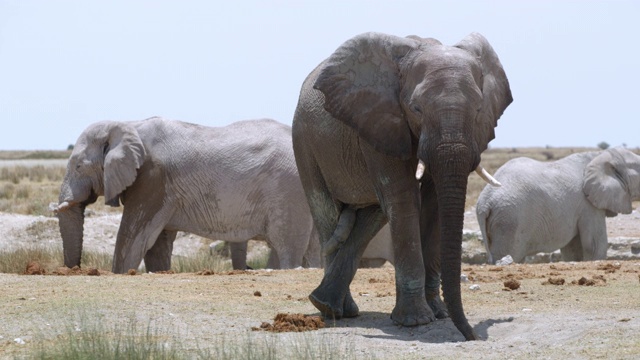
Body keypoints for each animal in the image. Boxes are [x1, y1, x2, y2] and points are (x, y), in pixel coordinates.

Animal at [52, 118, 320, 272]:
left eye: (78, 166)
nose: (74, 270)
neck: (127, 123)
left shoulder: (153, 179)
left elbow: (133, 238)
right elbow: (157, 244)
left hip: (288, 190)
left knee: (286, 247)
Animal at [292, 31, 512, 340]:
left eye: (480, 109)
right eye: (416, 108)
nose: (473, 336)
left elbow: (433, 205)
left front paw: (438, 314)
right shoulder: (379, 118)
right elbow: (404, 198)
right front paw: (415, 321)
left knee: (372, 216)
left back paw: (334, 305)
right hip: (304, 142)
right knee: (329, 215)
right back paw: (332, 311)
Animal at [476, 147, 640, 264]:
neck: (599, 154)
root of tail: (484, 203)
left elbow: (572, 249)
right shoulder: (588, 205)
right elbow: (594, 245)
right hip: (508, 220)